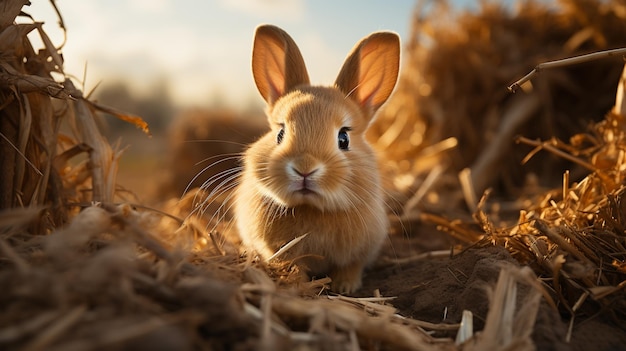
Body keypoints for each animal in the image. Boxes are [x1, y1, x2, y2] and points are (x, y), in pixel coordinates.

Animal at [234, 24, 400, 294]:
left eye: (344, 138)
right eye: (280, 133)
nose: (305, 168)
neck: (311, 209)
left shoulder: (359, 252)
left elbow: (351, 267)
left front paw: (345, 287)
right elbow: (292, 266)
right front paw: (299, 285)